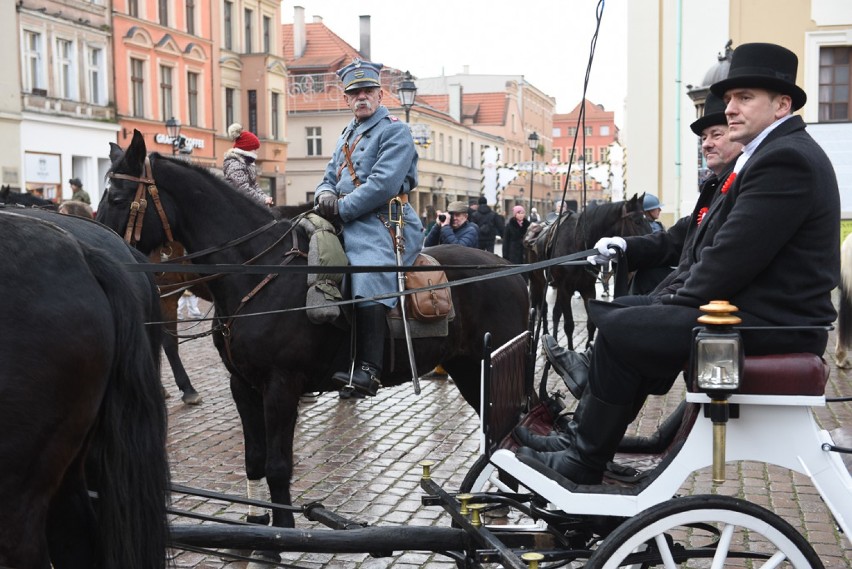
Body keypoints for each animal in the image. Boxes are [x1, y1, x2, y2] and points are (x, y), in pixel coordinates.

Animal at [96, 131, 528, 560]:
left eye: (116, 197)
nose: (98, 249)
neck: (260, 272)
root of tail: (509, 267)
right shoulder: (243, 385)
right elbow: (253, 459)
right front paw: (255, 523)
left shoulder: (280, 386)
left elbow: (278, 464)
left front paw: (279, 537)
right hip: (468, 369)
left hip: (485, 370)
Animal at [524, 196, 648, 350]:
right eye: (637, 221)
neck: (578, 244)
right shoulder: (565, 290)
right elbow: (569, 325)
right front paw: (570, 350)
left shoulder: (587, 289)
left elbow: (591, 324)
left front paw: (589, 346)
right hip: (537, 282)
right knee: (541, 308)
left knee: (554, 312)